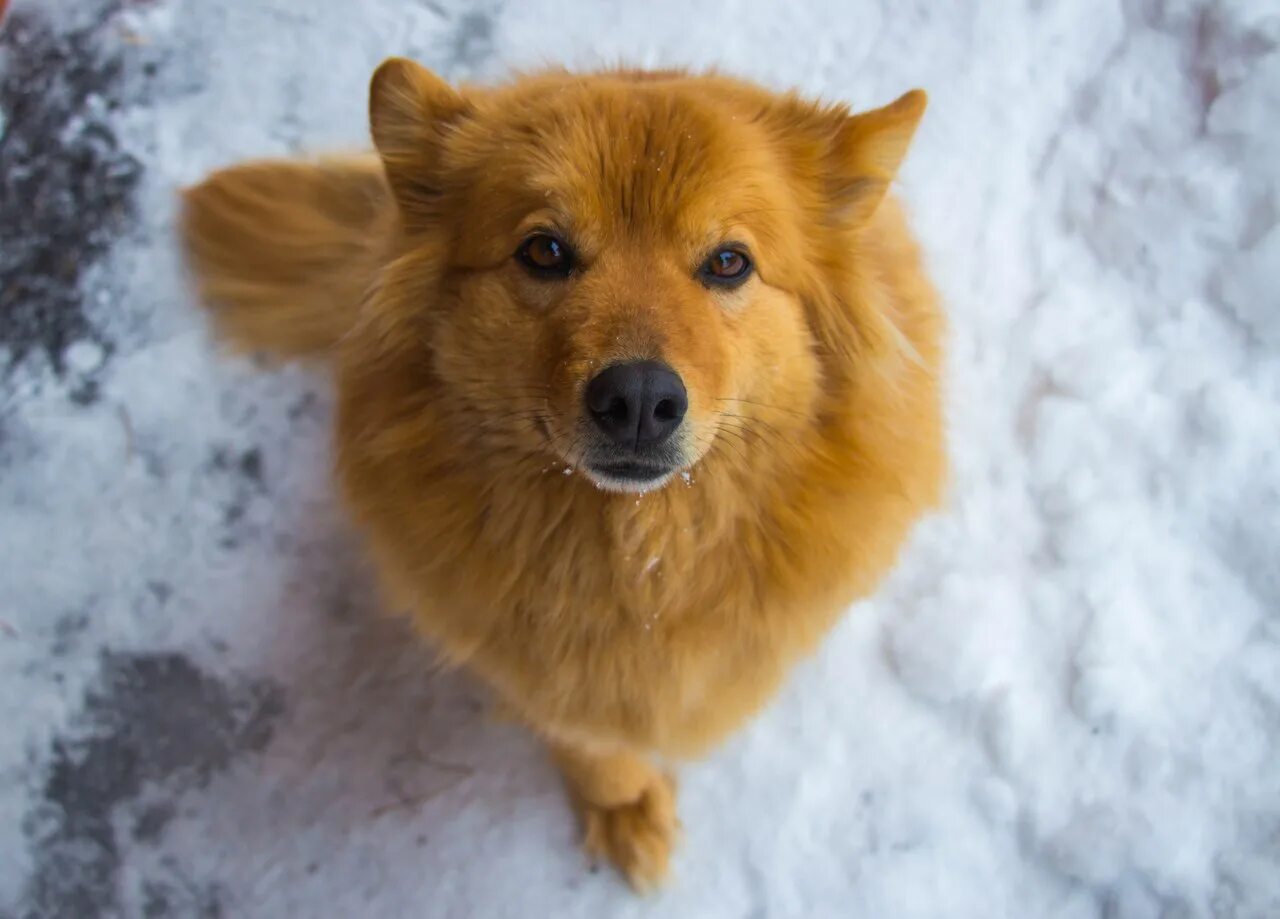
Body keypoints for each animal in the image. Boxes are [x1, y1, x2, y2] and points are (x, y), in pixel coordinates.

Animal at [180, 57, 947, 890]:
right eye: (544, 251)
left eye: (729, 262)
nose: (640, 398)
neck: (636, 570)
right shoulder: (534, 667)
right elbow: (590, 744)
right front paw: (622, 803)